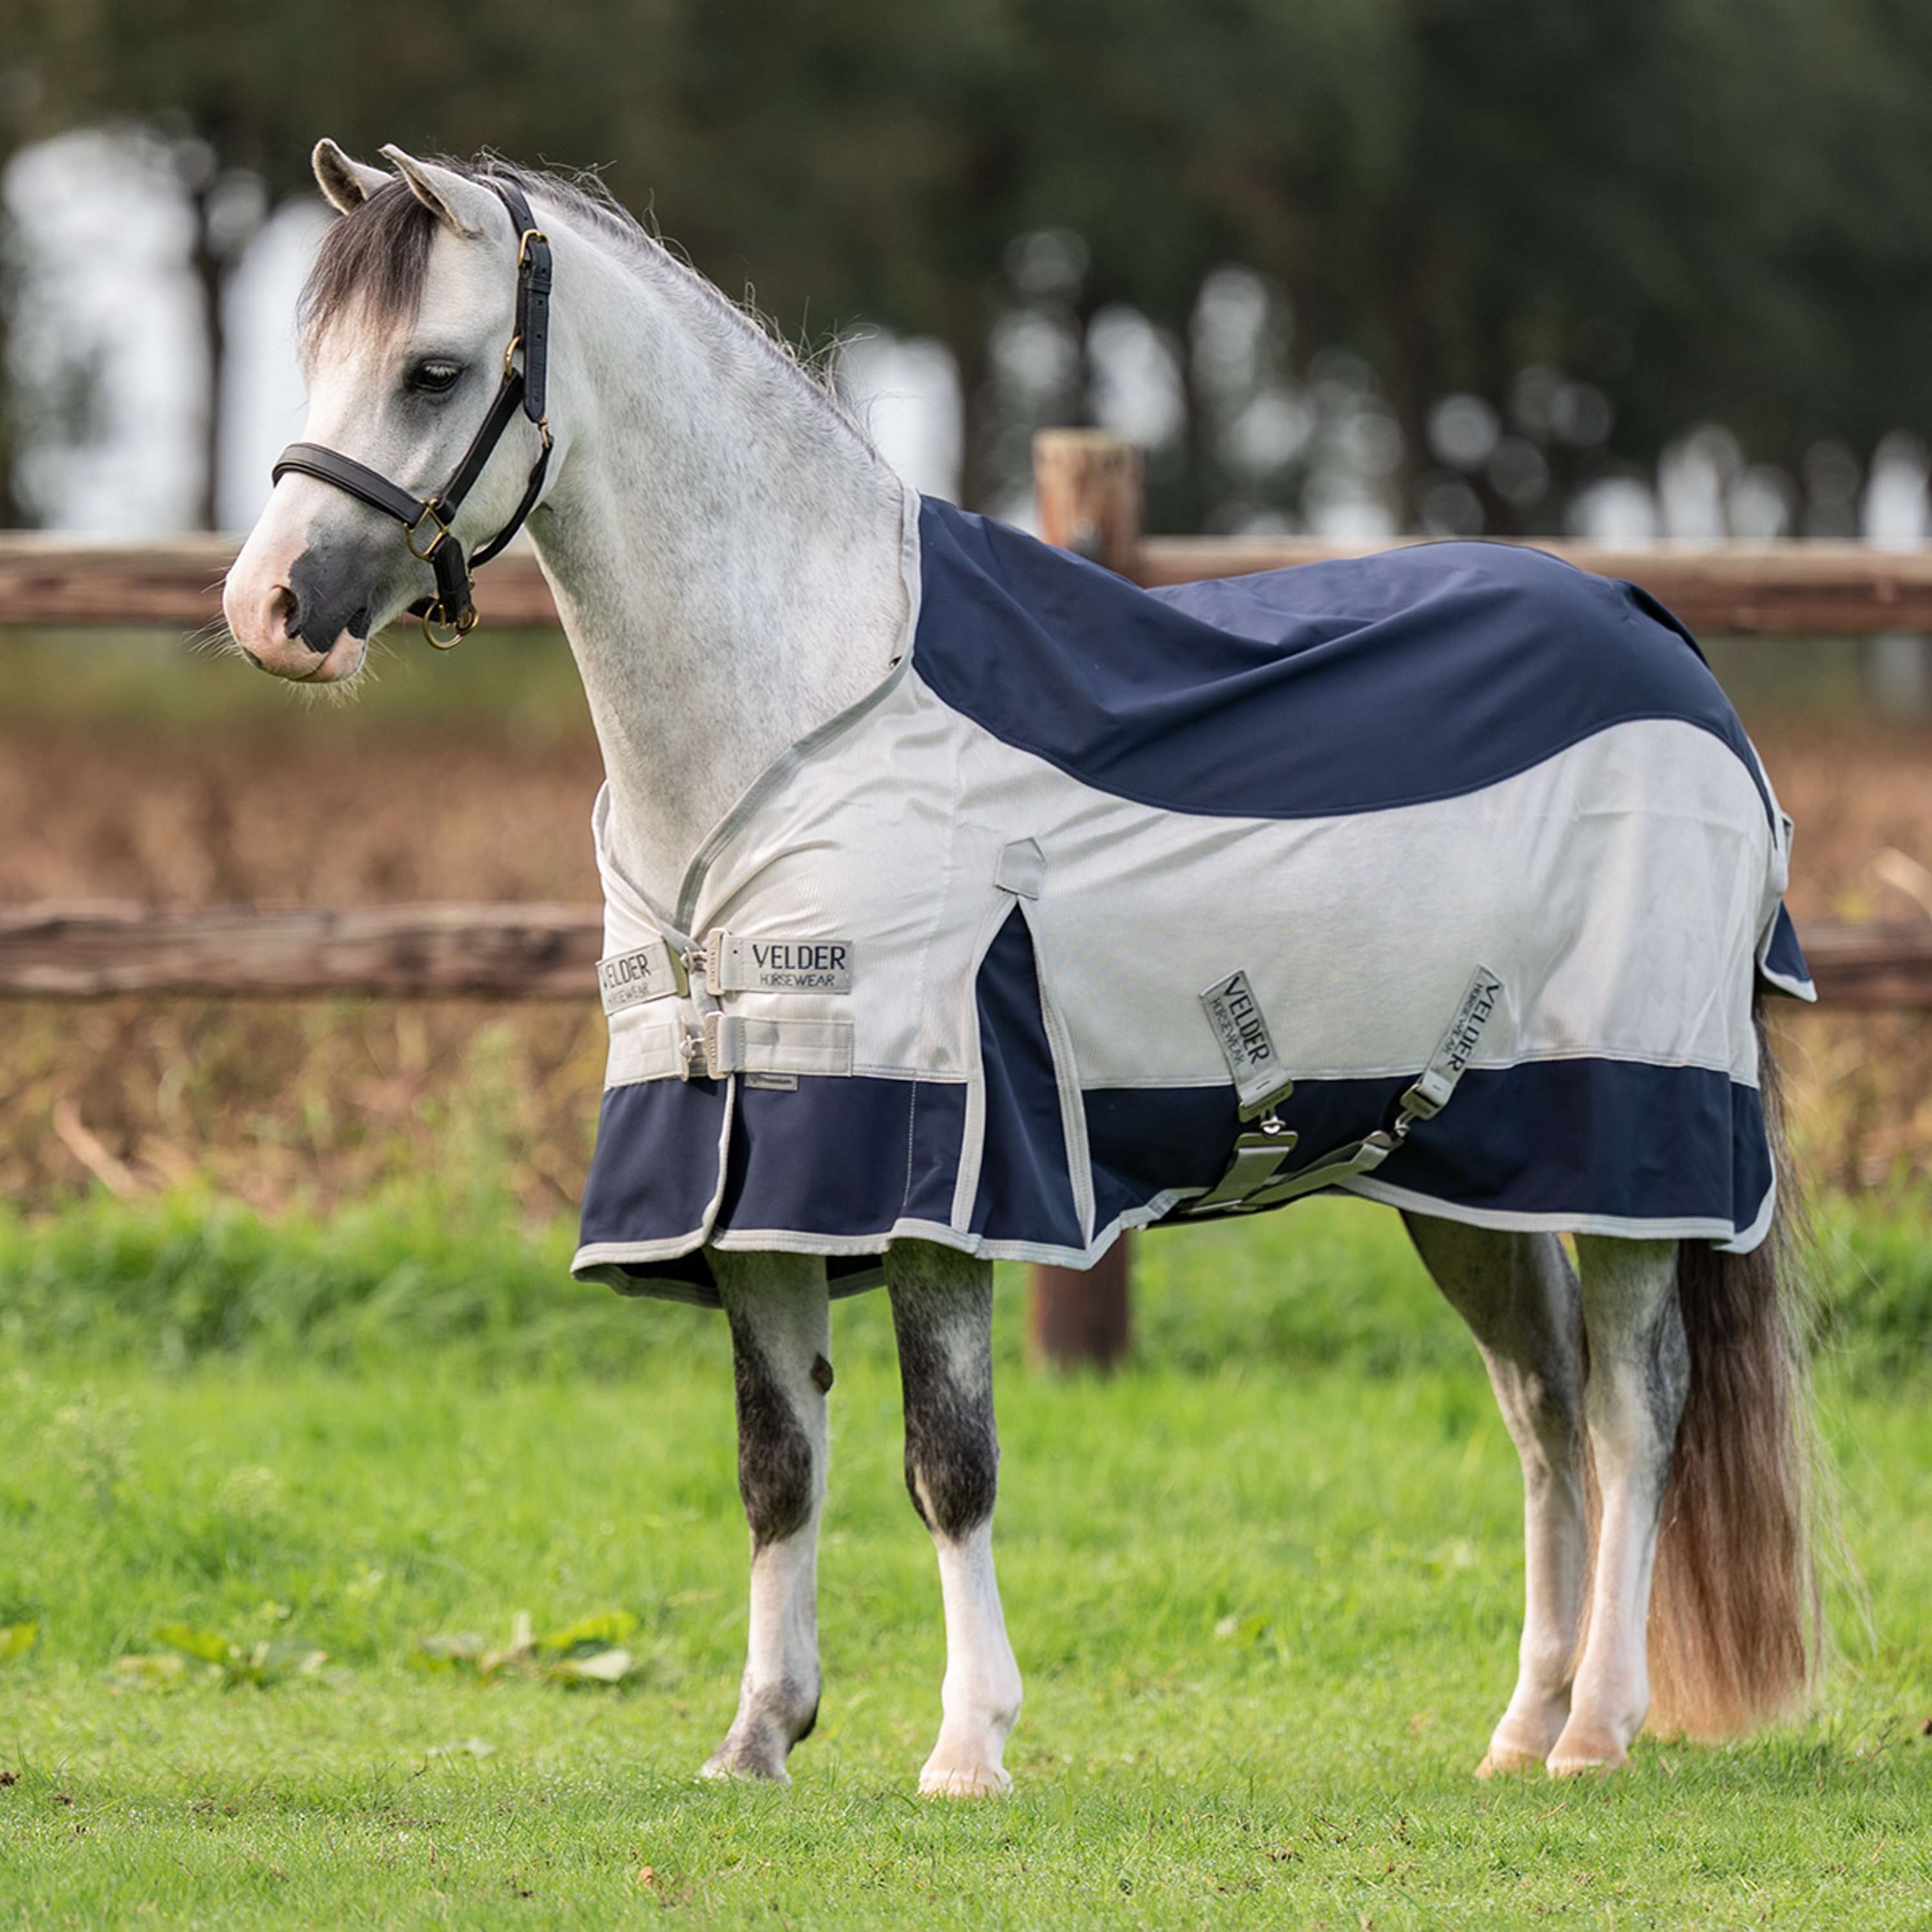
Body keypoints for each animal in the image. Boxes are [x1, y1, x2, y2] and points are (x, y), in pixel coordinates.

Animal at [223, 141, 1821, 1794]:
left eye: (432, 368)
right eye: (315, 354)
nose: (268, 612)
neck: (790, 717)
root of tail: (1668, 648)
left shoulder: (931, 1166)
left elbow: (950, 1461)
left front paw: (968, 1745)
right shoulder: (755, 1174)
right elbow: (777, 1464)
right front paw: (759, 1735)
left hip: (1631, 1140)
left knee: (1636, 1410)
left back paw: (1599, 1729)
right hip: (1463, 1169)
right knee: (1543, 1409)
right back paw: (1521, 1726)